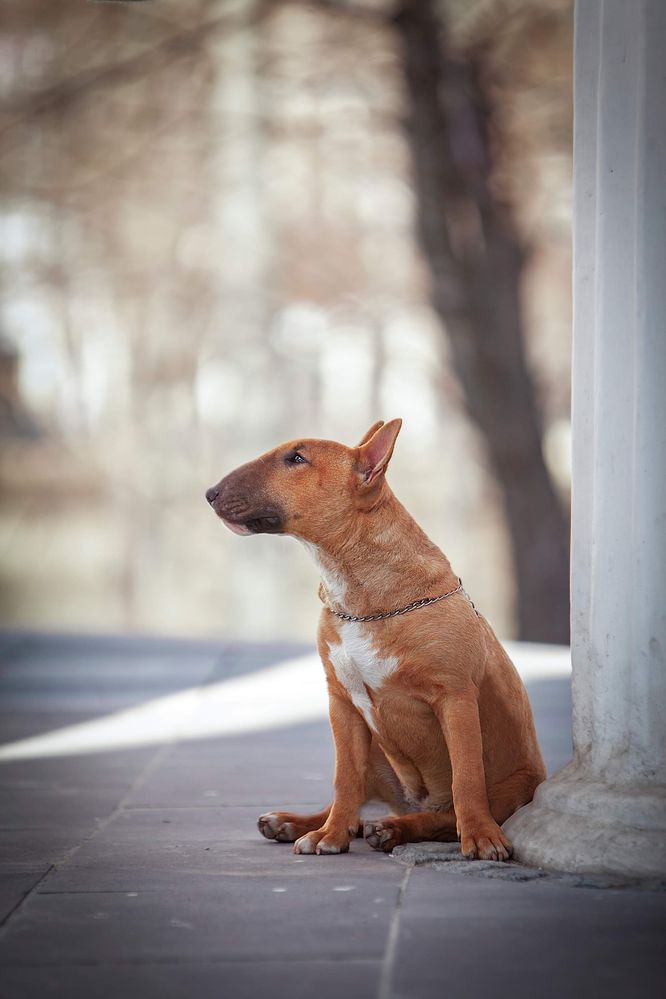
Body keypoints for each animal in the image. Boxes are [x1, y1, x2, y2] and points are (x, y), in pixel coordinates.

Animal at [204, 422, 544, 860]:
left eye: (296, 458)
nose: (210, 492)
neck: (358, 592)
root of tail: (411, 803)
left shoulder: (456, 698)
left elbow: (466, 779)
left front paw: (482, 838)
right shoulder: (342, 704)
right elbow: (344, 778)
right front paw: (330, 836)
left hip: (511, 788)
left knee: (443, 817)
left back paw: (396, 828)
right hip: (377, 751)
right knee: (358, 798)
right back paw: (298, 822)